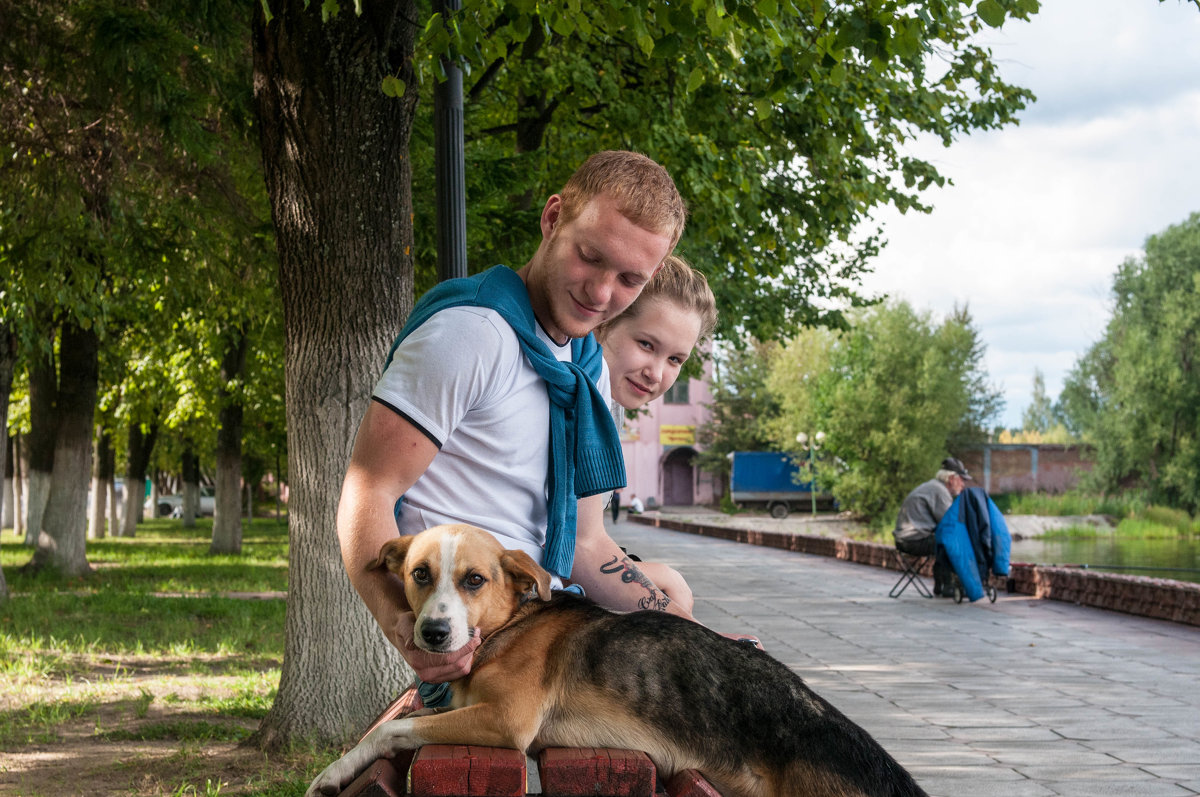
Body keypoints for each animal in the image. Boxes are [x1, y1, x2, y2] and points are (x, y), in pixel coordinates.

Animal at [309, 523, 926, 797]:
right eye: (420, 574)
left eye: (474, 580)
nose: (434, 634)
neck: (508, 627)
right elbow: (399, 723)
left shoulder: (507, 723)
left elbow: (395, 728)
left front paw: (331, 773)